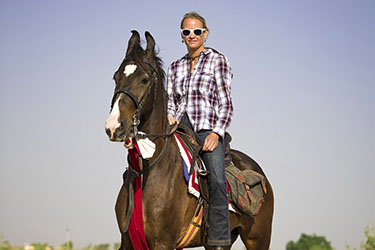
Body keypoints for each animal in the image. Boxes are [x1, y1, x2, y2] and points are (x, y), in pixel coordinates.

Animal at [104, 31, 274, 250]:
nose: (113, 126)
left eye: (144, 79)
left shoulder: (163, 242)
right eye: (116, 77)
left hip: (258, 240)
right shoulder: (128, 242)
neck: (149, 168)